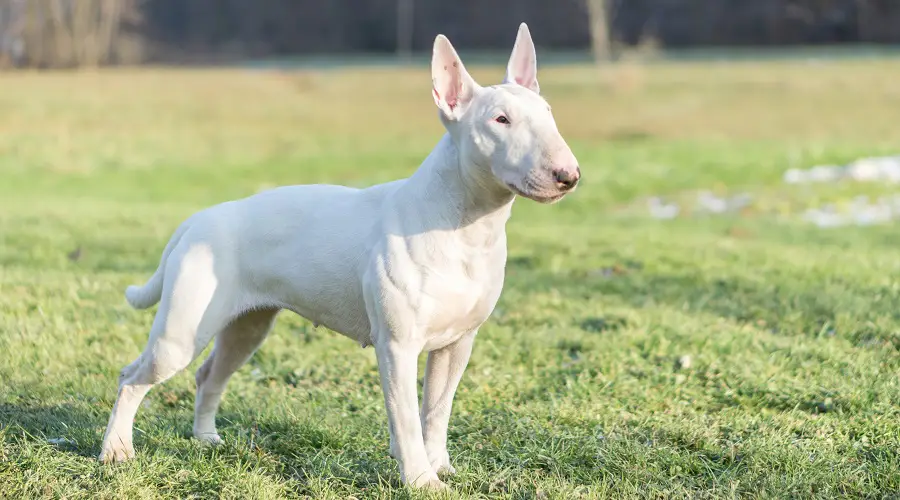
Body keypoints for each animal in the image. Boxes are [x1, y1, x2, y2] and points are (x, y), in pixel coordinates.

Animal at [98, 23, 576, 488]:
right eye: (500, 119)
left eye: (549, 113)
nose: (568, 175)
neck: (464, 225)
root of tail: (196, 220)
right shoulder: (398, 347)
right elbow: (406, 417)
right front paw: (421, 480)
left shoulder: (457, 344)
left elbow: (437, 411)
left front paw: (442, 468)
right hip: (180, 334)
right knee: (132, 378)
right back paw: (116, 451)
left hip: (246, 328)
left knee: (208, 375)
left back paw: (206, 438)